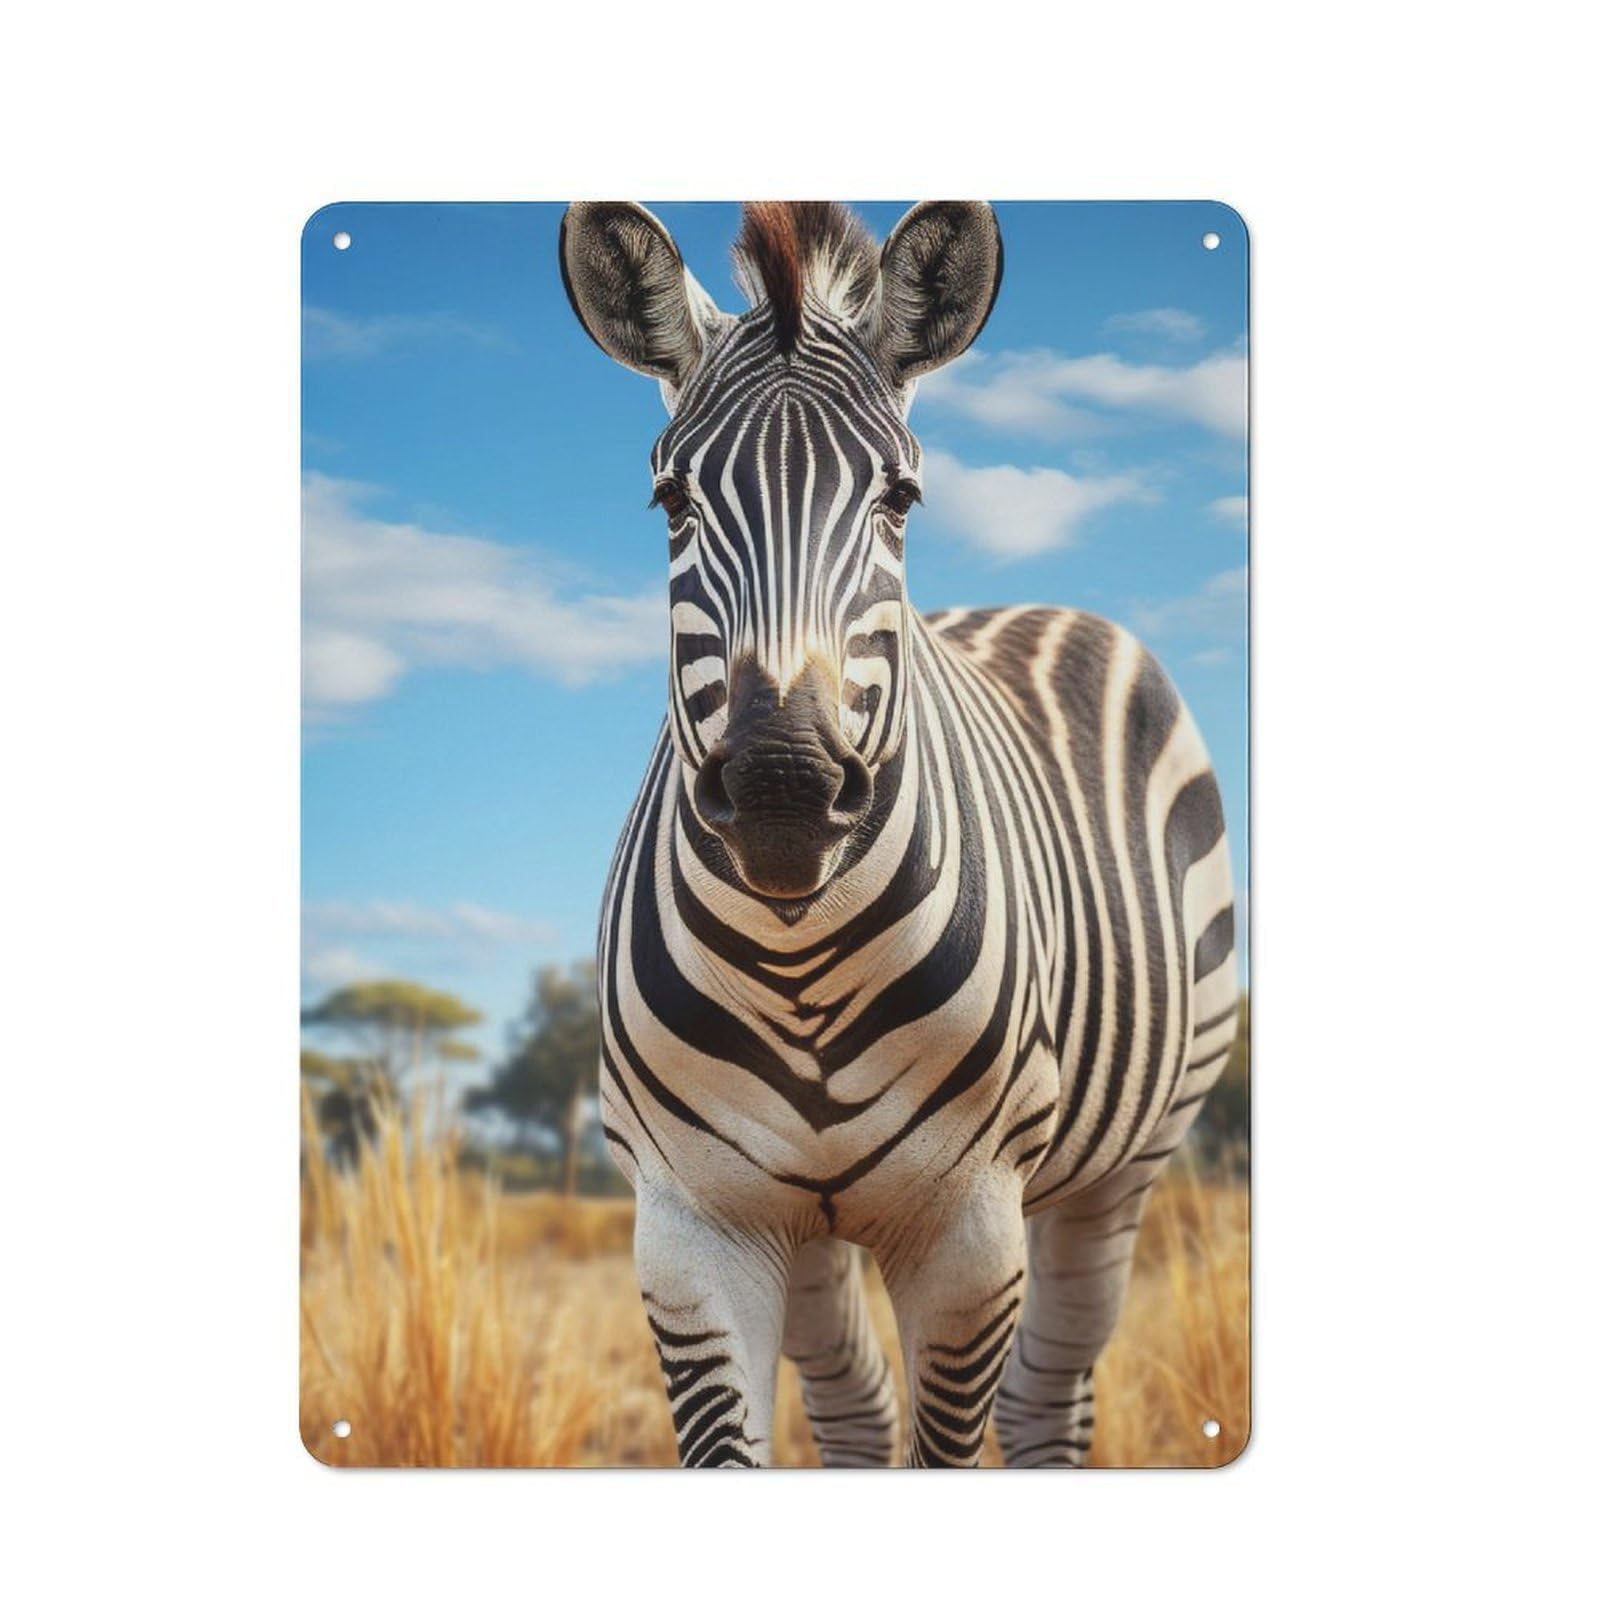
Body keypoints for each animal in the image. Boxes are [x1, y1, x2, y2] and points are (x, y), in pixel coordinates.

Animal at [559, 200, 1239, 1467]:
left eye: (899, 500)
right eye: (671, 501)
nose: (781, 789)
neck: (797, 966)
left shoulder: (970, 1229)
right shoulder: (689, 1224)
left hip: (1119, 1170)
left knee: (1045, 1400)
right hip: (808, 1226)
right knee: (857, 1408)